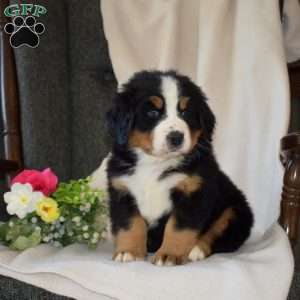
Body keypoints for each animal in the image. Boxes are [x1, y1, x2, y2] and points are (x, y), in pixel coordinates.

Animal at [106, 71, 253, 268]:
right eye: (153, 112)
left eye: (185, 112)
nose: (176, 137)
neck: (154, 163)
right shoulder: (122, 191)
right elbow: (130, 225)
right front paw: (128, 251)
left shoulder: (194, 192)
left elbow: (178, 228)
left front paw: (169, 254)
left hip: (235, 211)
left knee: (219, 235)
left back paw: (196, 250)